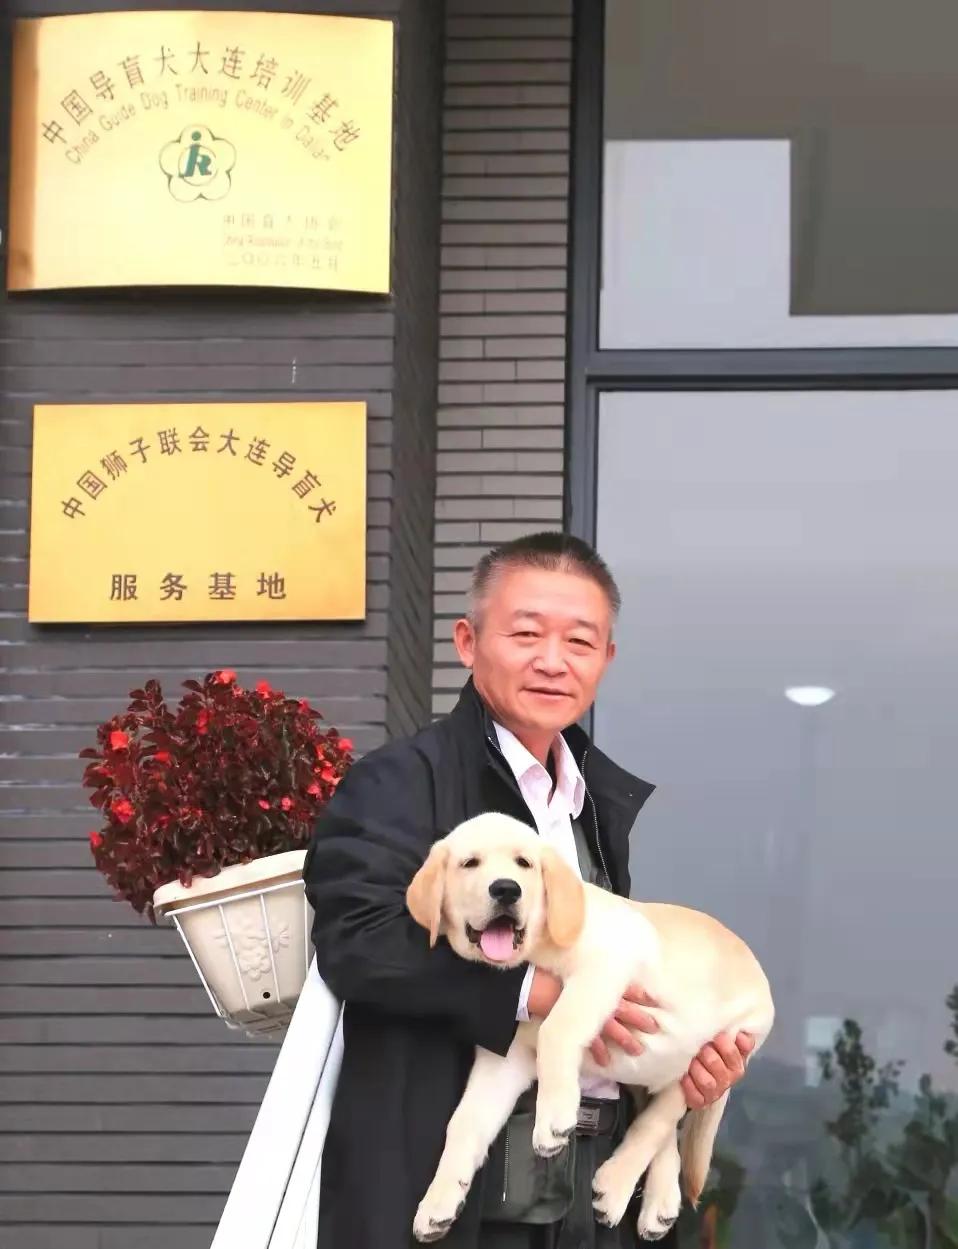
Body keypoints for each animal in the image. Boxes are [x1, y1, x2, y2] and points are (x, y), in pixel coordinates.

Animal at [406, 812, 774, 1243]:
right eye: (469, 863)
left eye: (524, 863)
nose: (506, 890)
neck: (536, 952)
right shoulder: (504, 1062)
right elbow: (463, 1123)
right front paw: (438, 1203)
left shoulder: (605, 964)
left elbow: (555, 1028)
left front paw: (553, 1121)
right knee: (659, 1123)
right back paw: (660, 1202)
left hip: (712, 1046)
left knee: (659, 1119)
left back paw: (614, 1187)